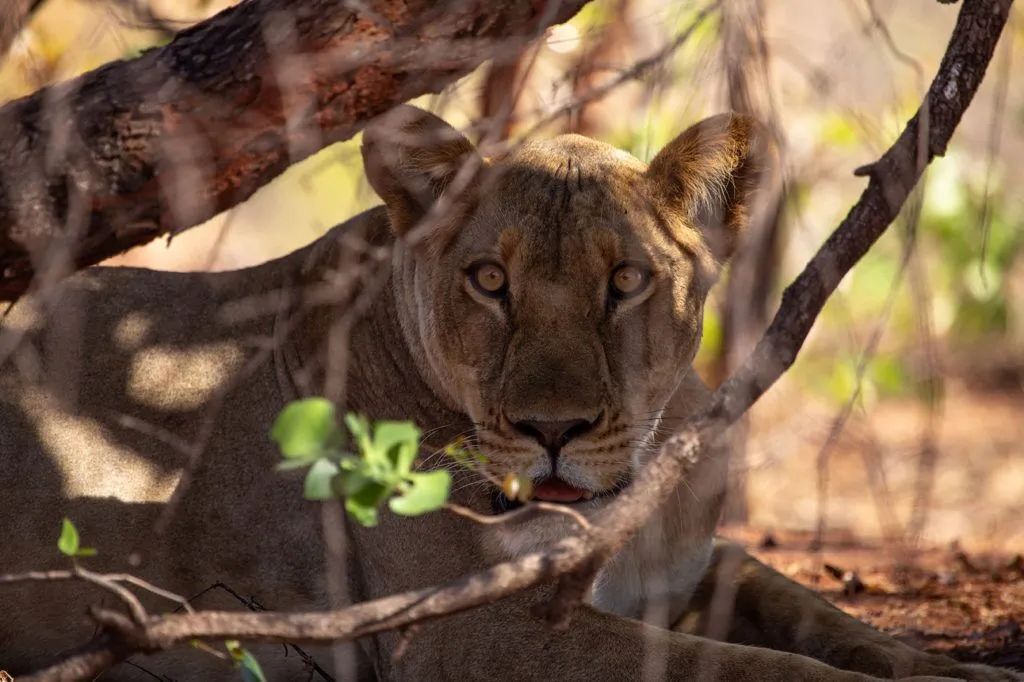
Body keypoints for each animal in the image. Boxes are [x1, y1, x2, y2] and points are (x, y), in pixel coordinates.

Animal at [0, 105, 1015, 681]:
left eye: (625, 281)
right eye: (490, 281)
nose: (550, 430)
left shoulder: (695, 570)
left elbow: (814, 611)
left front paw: (947, 668)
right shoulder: (467, 635)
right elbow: (737, 667)